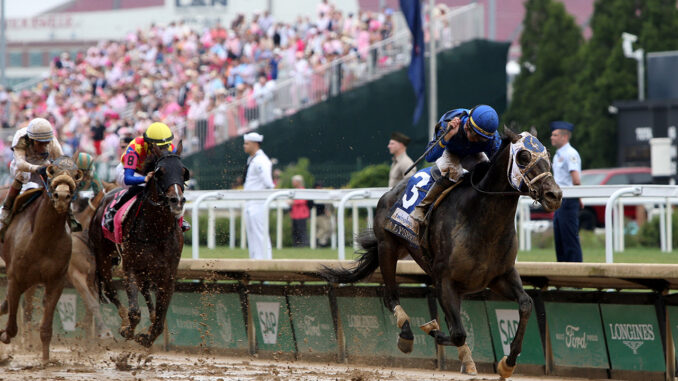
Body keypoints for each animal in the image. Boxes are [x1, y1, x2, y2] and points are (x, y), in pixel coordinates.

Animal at [0, 156, 83, 360]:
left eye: (75, 176)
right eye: (52, 172)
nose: (62, 197)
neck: (44, 237)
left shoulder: (56, 282)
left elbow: (46, 328)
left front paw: (46, 361)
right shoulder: (15, 279)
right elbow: (12, 327)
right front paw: (4, 334)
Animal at [89, 142, 189, 348]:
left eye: (184, 172)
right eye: (160, 172)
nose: (177, 200)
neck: (156, 231)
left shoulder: (168, 275)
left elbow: (160, 320)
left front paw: (147, 336)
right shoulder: (130, 268)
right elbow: (134, 312)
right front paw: (128, 329)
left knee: (145, 291)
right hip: (103, 257)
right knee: (110, 290)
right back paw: (124, 321)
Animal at [318, 128, 564, 378]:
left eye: (548, 155)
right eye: (523, 156)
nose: (554, 195)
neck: (481, 220)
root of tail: (390, 192)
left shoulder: (500, 276)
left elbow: (525, 304)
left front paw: (508, 362)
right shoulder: (444, 280)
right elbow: (457, 333)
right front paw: (431, 329)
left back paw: (468, 361)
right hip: (388, 248)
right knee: (391, 297)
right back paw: (406, 335)